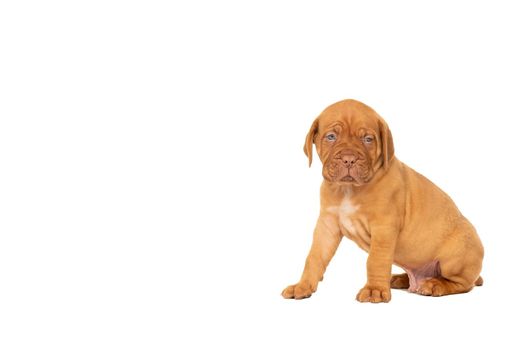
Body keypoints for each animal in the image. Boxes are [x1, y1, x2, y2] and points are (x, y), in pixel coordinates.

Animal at [282, 99, 484, 304]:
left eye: (368, 139)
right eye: (331, 137)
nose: (349, 159)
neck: (348, 190)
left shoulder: (383, 227)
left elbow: (376, 260)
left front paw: (375, 290)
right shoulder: (327, 226)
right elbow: (314, 257)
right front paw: (303, 285)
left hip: (455, 257)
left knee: (463, 284)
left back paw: (435, 284)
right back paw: (400, 279)